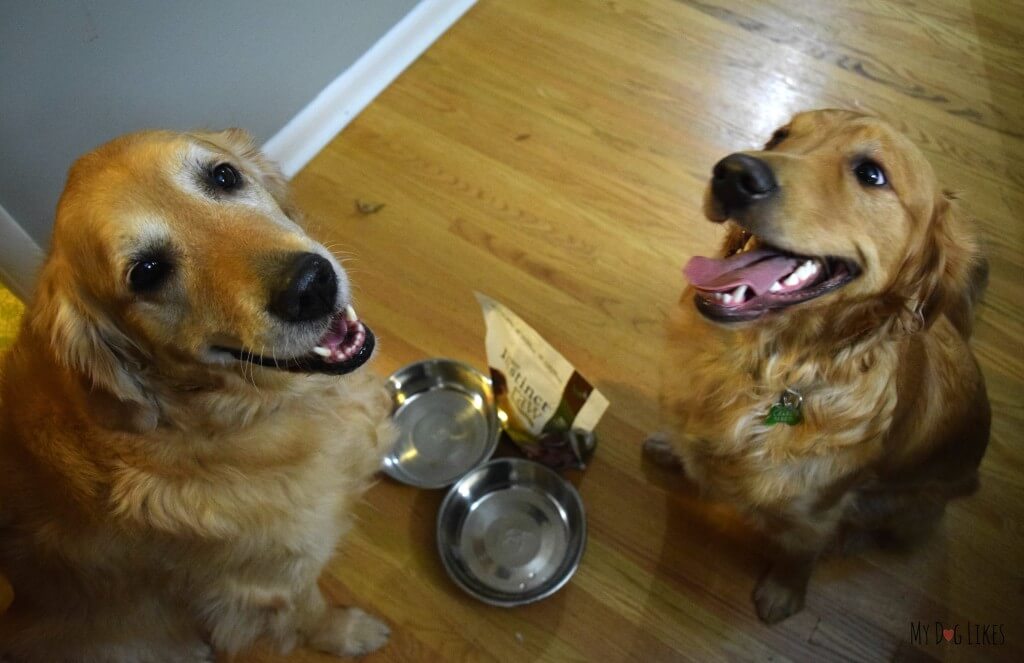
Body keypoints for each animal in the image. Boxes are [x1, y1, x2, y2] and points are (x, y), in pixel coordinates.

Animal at [0, 128, 395, 659]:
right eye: (147, 272)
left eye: (223, 176)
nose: (310, 286)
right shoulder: (270, 581)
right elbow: (310, 612)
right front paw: (350, 632)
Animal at [647, 109, 991, 623]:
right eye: (779, 136)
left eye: (871, 173)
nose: (733, 173)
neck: (769, 370)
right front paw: (672, 448)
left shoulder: (816, 512)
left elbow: (800, 553)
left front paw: (782, 593)